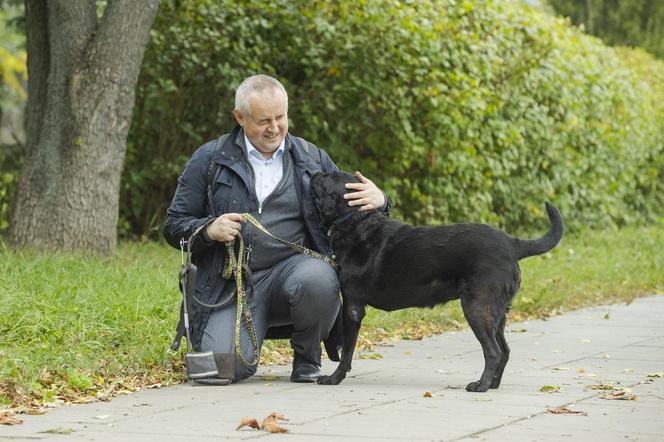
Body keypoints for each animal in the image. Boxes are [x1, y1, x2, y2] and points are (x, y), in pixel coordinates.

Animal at [314, 171, 564, 392]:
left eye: (327, 177)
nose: (314, 172)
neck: (357, 222)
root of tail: (512, 243)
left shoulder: (353, 307)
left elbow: (346, 352)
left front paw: (334, 378)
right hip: (497, 313)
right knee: (505, 350)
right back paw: (492, 384)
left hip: (477, 307)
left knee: (493, 351)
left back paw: (480, 385)